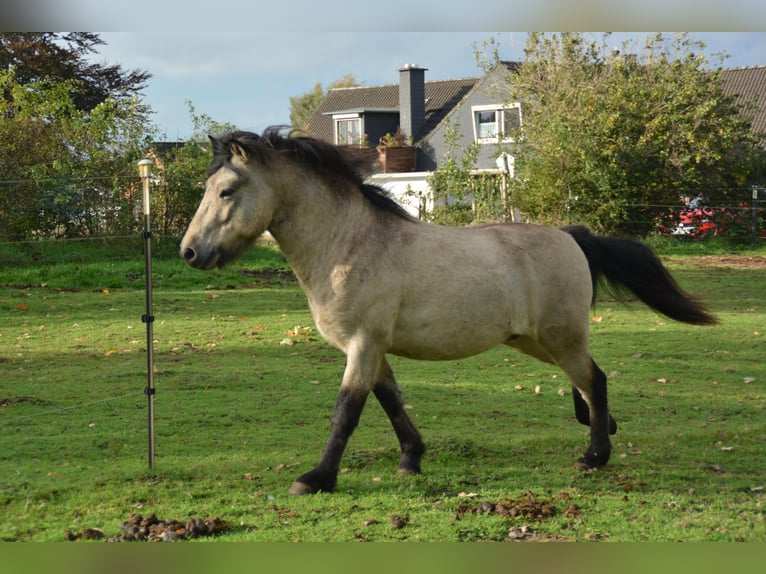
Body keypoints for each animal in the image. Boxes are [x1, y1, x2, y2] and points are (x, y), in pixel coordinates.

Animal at [180, 127, 717, 495]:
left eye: (226, 191)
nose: (189, 253)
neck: (348, 245)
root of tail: (571, 236)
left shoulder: (362, 345)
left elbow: (346, 412)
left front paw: (316, 478)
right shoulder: (375, 350)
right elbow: (392, 403)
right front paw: (410, 461)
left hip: (560, 338)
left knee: (594, 381)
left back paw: (595, 456)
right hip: (535, 341)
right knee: (590, 381)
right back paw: (603, 431)